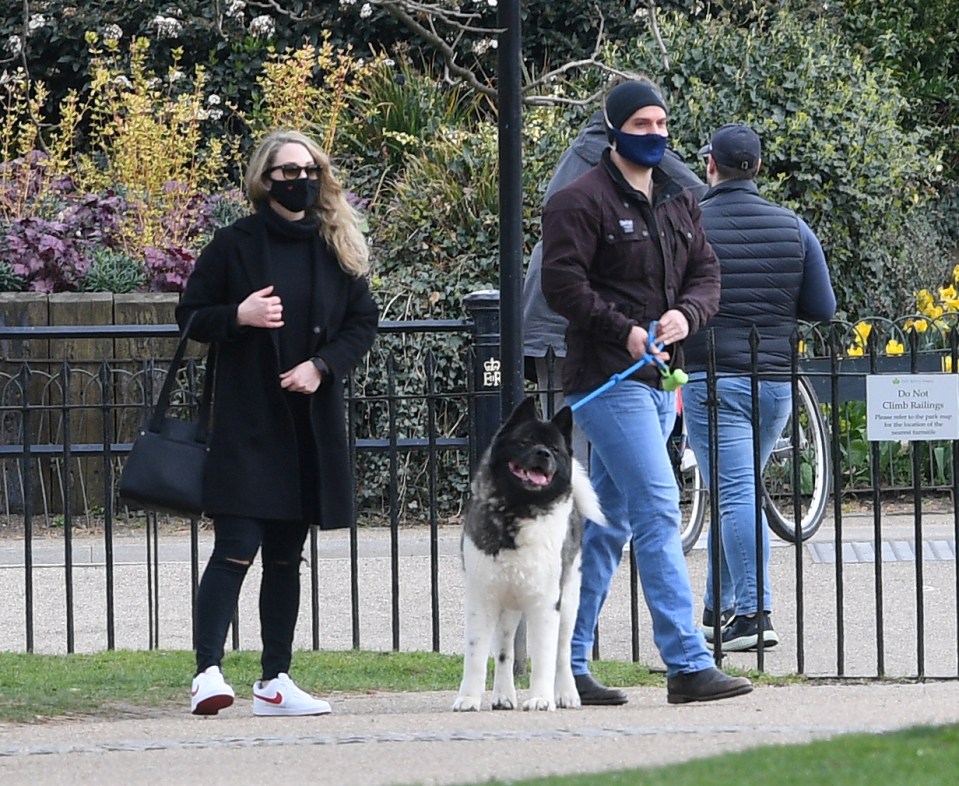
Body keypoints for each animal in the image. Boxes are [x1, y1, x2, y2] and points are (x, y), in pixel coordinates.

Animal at [454, 398, 604, 712]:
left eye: (555, 449)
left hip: (568, 602)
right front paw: (468, 698)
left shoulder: (546, 603)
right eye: (525, 441)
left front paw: (541, 698)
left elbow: (545, 656)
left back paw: (567, 694)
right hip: (507, 607)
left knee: (562, 653)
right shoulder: (481, 599)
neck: (518, 508)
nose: (543, 453)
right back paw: (502, 695)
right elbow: (476, 656)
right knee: (504, 652)